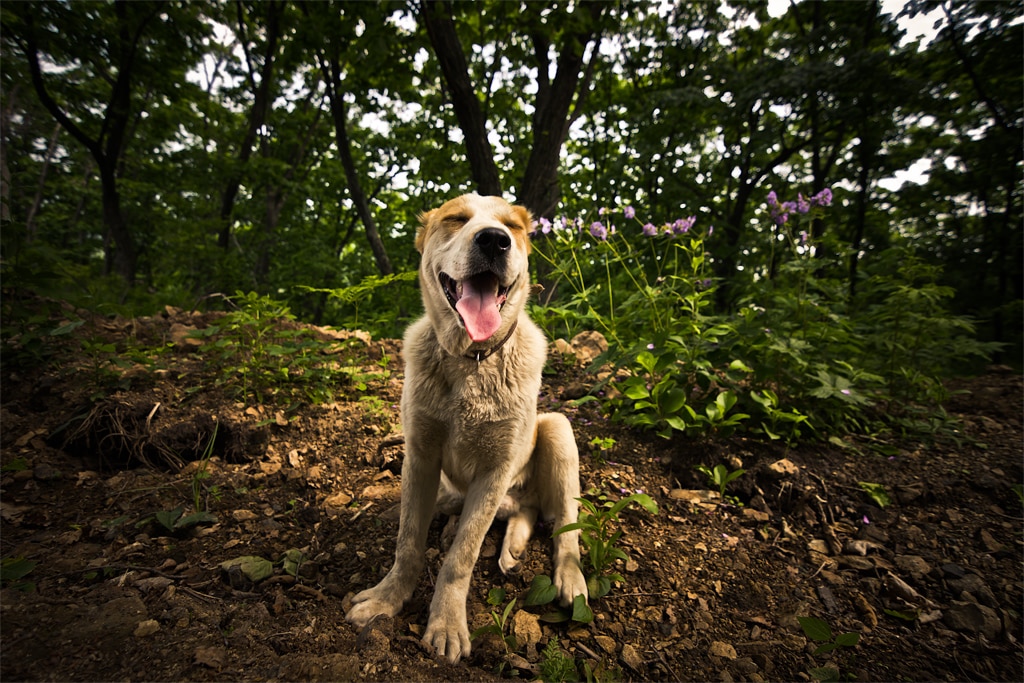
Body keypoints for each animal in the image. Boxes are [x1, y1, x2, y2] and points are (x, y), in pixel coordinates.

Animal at [344, 192, 589, 663]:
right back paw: (509, 545)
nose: (494, 240)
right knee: (524, 510)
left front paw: (446, 625)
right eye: (456, 218)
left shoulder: (494, 473)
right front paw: (387, 599)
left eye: (513, 226)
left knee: (564, 525)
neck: (472, 360)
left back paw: (569, 577)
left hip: (557, 429)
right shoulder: (420, 457)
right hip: (457, 488)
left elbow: (461, 557)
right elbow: (408, 542)